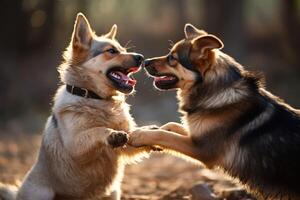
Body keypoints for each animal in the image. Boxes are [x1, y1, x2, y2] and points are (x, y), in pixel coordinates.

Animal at [1, 12, 157, 200]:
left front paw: (150, 131)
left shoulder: (124, 147)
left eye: (124, 49)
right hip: (43, 194)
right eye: (111, 51)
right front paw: (111, 134)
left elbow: (136, 134)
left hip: (113, 192)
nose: (141, 58)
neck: (96, 99)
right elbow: (97, 130)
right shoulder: (76, 146)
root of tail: (17, 194)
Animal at [130, 23, 300, 200]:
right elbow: (170, 126)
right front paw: (150, 130)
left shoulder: (201, 149)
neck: (213, 89)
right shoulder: (197, 135)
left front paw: (140, 135)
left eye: (172, 58)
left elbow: (165, 135)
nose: (145, 61)